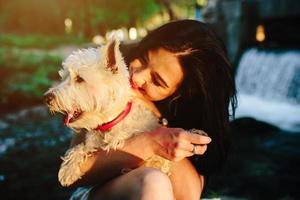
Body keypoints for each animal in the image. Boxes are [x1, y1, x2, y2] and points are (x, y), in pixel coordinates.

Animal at [44, 39, 171, 187]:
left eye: (80, 79)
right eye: (64, 77)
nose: (46, 98)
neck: (109, 124)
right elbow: (80, 147)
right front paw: (68, 170)